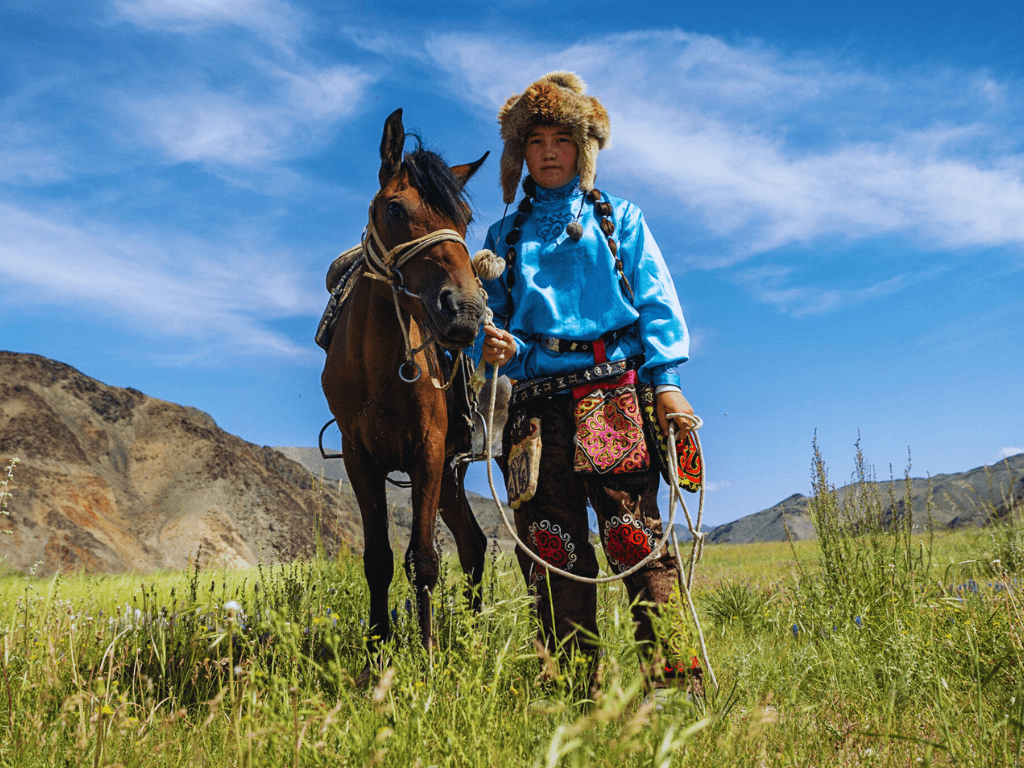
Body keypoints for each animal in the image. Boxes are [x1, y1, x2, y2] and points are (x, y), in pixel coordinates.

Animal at [321, 109, 490, 677]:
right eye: (395, 208)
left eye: (465, 220)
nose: (464, 311)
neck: (376, 367)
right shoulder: (359, 457)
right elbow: (379, 559)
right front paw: (377, 651)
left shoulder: (428, 453)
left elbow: (425, 559)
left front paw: (429, 656)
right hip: (453, 476)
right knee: (474, 541)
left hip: (451, 468)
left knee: (469, 545)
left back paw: (474, 634)